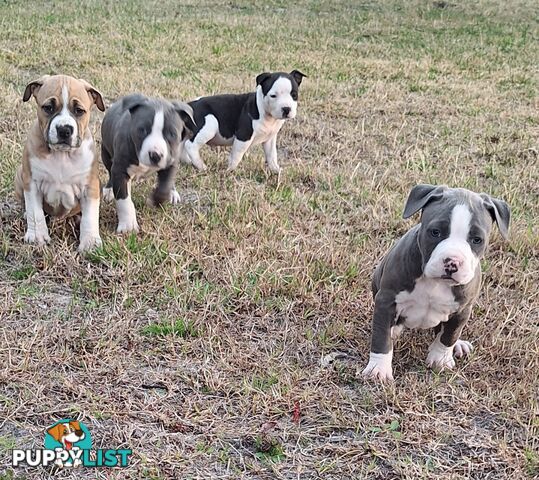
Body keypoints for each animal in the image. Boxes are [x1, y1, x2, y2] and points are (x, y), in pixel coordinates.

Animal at [15, 75, 106, 251]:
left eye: (79, 111)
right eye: (48, 108)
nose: (64, 129)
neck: (62, 155)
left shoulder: (90, 187)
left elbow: (90, 216)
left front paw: (90, 242)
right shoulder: (32, 183)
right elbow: (35, 212)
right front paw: (37, 236)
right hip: (19, 176)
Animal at [100, 93, 195, 232]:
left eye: (172, 134)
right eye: (142, 130)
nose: (155, 155)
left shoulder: (171, 162)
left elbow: (165, 185)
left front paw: (156, 200)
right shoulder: (120, 169)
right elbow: (124, 199)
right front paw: (128, 225)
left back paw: (173, 193)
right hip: (105, 153)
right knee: (109, 171)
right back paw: (109, 190)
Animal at [362, 183, 510, 378]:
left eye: (477, 240)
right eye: (435, 232)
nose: (452, 262)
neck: (436, 282)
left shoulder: (462, 310)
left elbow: (449, 336)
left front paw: (440, 359)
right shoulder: (386, 301)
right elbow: (381, 337)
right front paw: (378, 370)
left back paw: (459, 345)